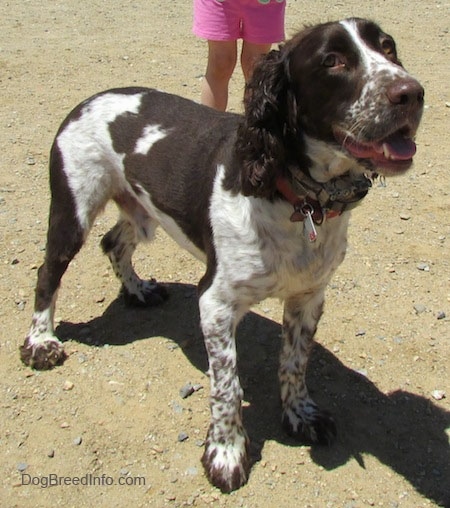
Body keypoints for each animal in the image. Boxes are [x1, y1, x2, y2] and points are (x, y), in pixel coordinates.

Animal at [20, 18, 422, 492]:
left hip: (141, 212)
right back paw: (41, 342)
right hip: (74, 207)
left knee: (114, 243)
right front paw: (226, 454)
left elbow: (294, 362)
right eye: (332, 60)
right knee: (48, 272)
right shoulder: (216, 303)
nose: (413, 93)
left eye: (389, 48)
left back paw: (138, 291)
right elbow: (228, 387)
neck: (298, 199)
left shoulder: (308, 297)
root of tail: (87, 100)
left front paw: (299, 416)